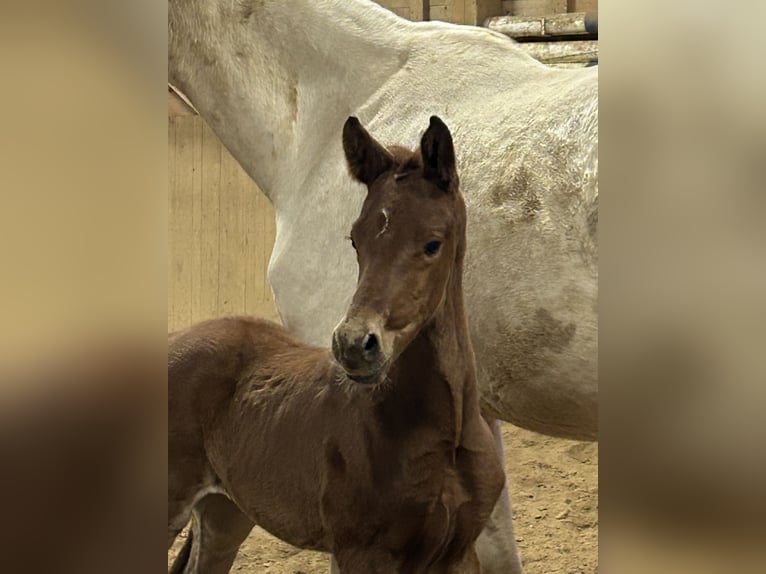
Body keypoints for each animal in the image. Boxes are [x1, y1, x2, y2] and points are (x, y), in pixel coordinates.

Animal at [167, 117, 504, 574]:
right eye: (356, 240)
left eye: (433, 243)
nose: (354, 345)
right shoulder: (359, 553)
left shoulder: (458, 555)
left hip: (226, 512)